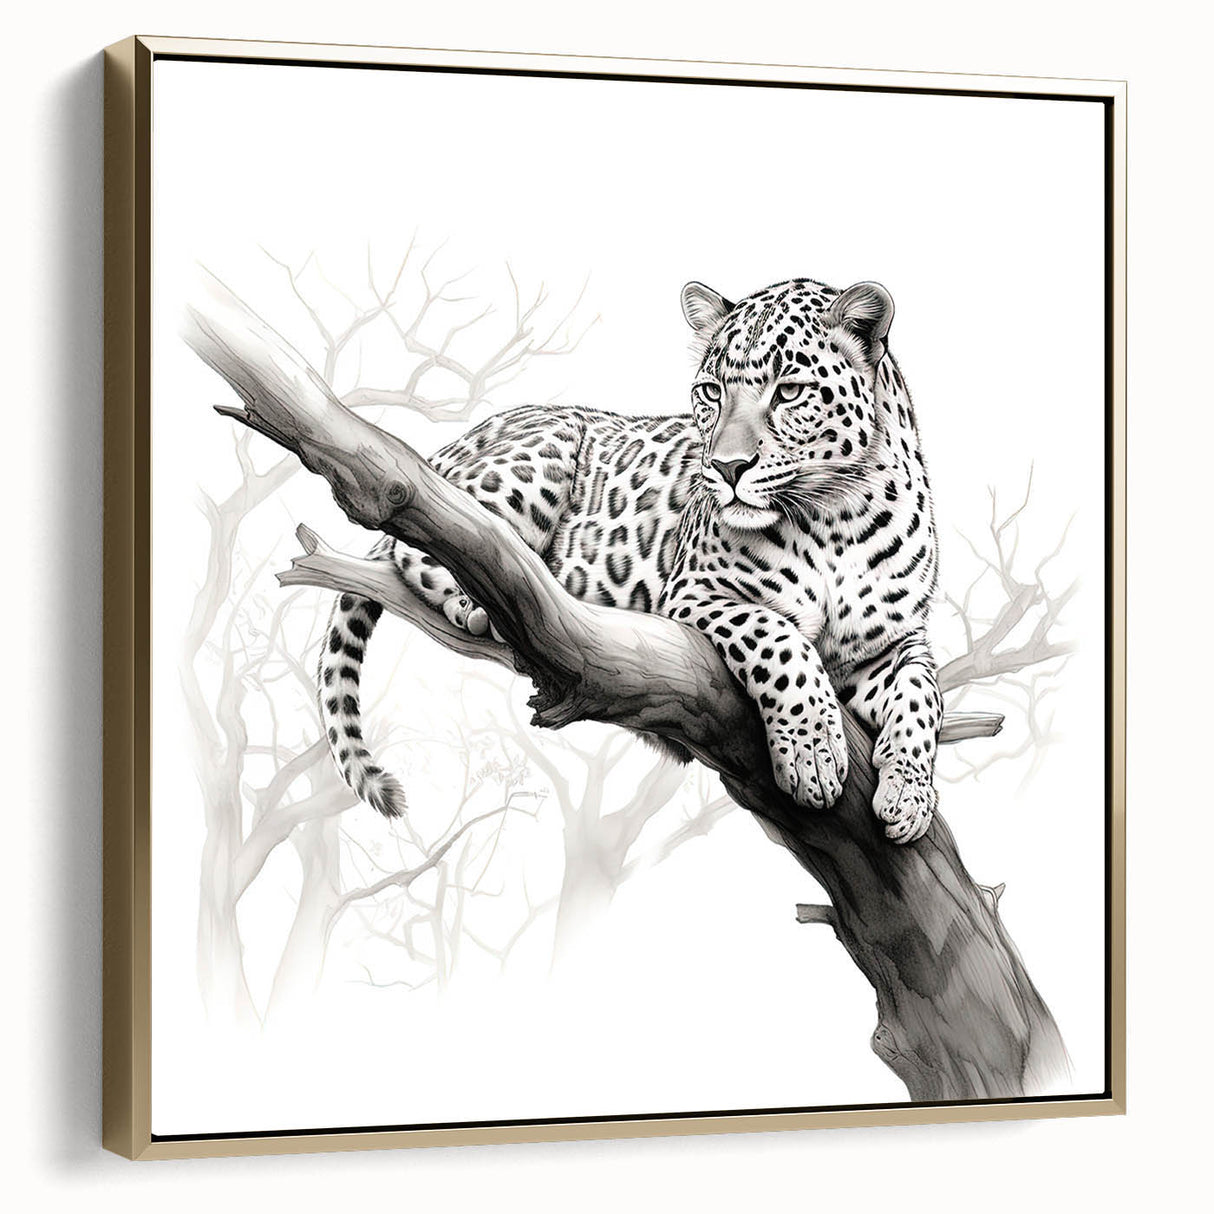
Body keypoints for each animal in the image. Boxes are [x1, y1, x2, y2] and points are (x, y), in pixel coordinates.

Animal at [318, 276, 942, 843]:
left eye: (789, 393)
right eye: (711, 392)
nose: (726, 467)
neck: (837, 519)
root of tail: (462, 438)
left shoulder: (894, 641)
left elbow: (923, 695)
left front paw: (909, 796)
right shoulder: (694, 593)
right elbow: (779, 640)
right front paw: (813, 754)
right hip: (532, 462)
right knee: (434, 535)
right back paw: (480, 599)